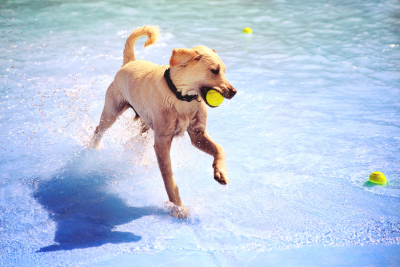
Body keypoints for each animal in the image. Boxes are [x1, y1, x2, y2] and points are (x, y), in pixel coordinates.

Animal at [91, 25, 234, 218]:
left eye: (224, 70)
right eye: (214, 70)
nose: (233, 92)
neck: (182, 97)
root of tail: (130, 62)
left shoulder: (198, 135)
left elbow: (219, 149)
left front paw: (220, 171)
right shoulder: (162, 142)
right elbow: (168, 177)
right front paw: (178, 207)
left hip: (145, 124)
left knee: (136, 141)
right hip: (112, 112)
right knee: (99, 129)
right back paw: (93, 149)